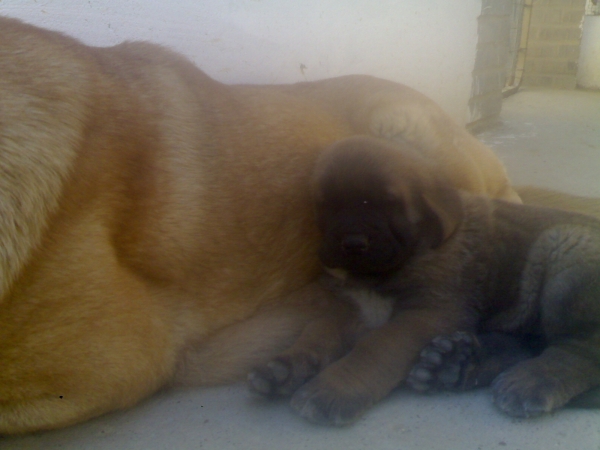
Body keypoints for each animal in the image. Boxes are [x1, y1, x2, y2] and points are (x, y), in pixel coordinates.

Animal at [247, 135, 600, 424]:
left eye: (388, 204)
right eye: (327, 204)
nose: (352, 243)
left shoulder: (427, 314)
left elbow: (375, 348)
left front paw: (334, 387)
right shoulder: (354, 309)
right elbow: (318, 331)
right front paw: (287, 365)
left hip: (565, 248)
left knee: (580, 348)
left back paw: (533, 379)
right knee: (525, 342)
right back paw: (457, 363)